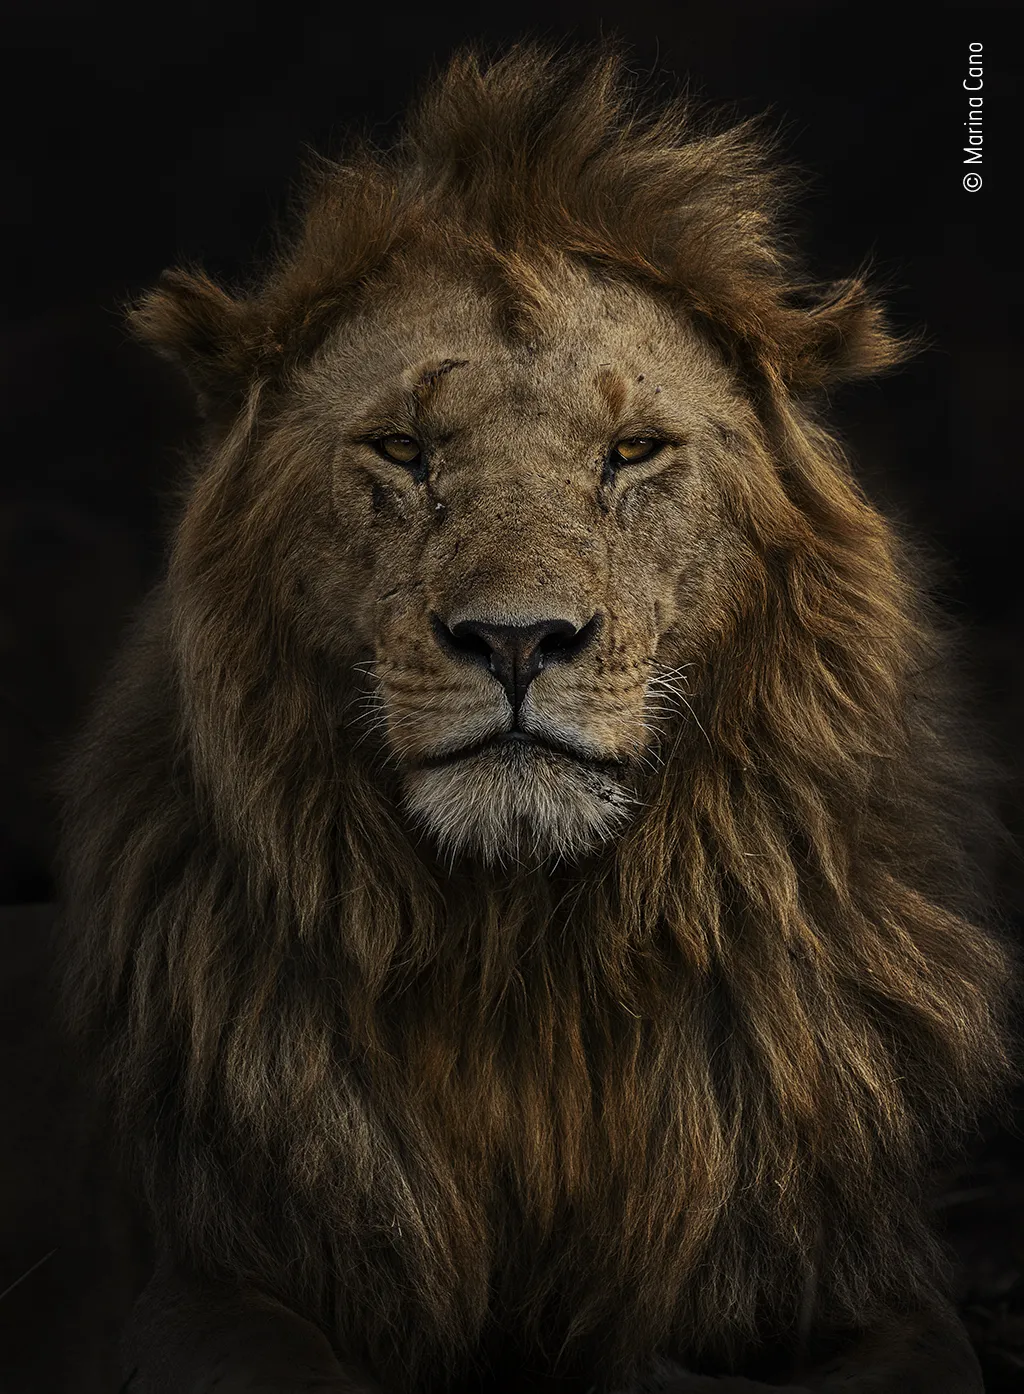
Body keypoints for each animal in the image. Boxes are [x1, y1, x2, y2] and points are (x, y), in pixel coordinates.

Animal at [58, 43, 1019, 1394]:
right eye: (402, 448)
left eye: (631, 450)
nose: (517, 639)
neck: (529, 960)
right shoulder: (207, 1274)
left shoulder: (868, 1280)